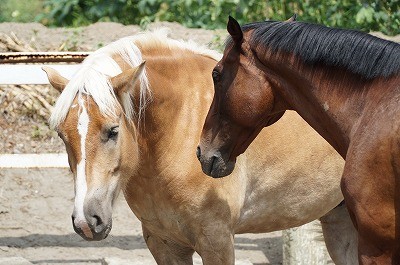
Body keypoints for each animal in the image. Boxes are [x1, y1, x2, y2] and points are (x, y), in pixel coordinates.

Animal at [43, 29, 356, 262]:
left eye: (113, 131)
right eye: (62, 135)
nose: (87, 221)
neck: (180, 127)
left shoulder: (216, 241)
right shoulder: (164, 242)